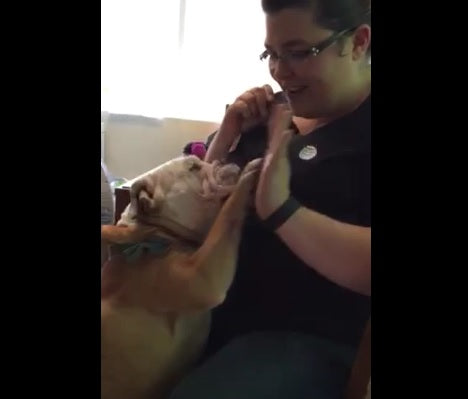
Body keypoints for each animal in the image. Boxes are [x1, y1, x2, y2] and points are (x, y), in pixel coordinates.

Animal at [101, 155, 260, 399]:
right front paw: (248, 176)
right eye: (193, 168)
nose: (223, 159)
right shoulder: (201, 277)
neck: (160, 237)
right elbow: (226, 217)